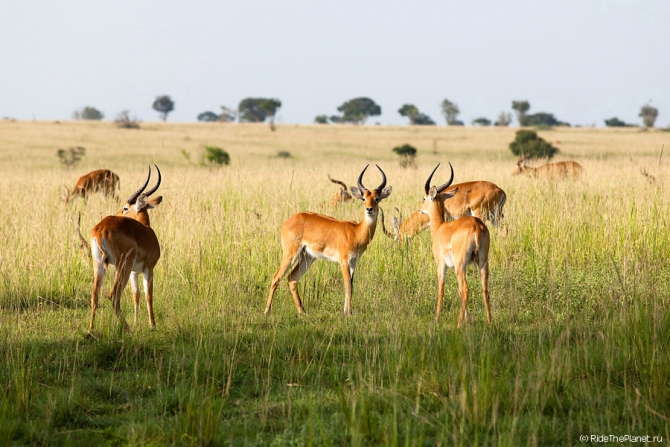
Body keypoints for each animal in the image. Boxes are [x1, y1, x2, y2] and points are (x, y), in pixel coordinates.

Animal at [89, 165, 164, 332]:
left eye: (125, 208)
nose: (117, 213)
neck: (146, 230)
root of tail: (100, 229)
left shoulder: (134, 272)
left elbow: (136, 295)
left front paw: (137, 322)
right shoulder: (149, 268)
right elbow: (148, 295)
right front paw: (152, 325)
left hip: (99, 265)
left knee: (95, 295)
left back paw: (90, 331)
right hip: (122, 267)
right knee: (113, 295)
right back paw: (127, 329)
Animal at [266, 166, 394, 316]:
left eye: (377, 198)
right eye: (364, 198)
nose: (369, 209)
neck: (356, 232)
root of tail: (288, 221)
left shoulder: (353, 262)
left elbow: (351, 285)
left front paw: (347, 311)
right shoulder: (344, 261)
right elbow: (347, 285)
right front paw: (348, 313)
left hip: (308, 257)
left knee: (292, 278)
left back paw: (302, 311)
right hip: (291, 254)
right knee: (276, 277)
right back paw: (267, 311)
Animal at [420, 163, 494, 328]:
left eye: (424, 197)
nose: (420, 209)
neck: (440, 228)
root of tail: (477, 226)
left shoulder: (441, 265)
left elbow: (441, 290)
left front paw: (436, 319)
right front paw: (468, 318)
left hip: (460, 265)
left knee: (466, 289)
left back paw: (459, 324)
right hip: (483, 262)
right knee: (485, 289)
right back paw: (489, 321)